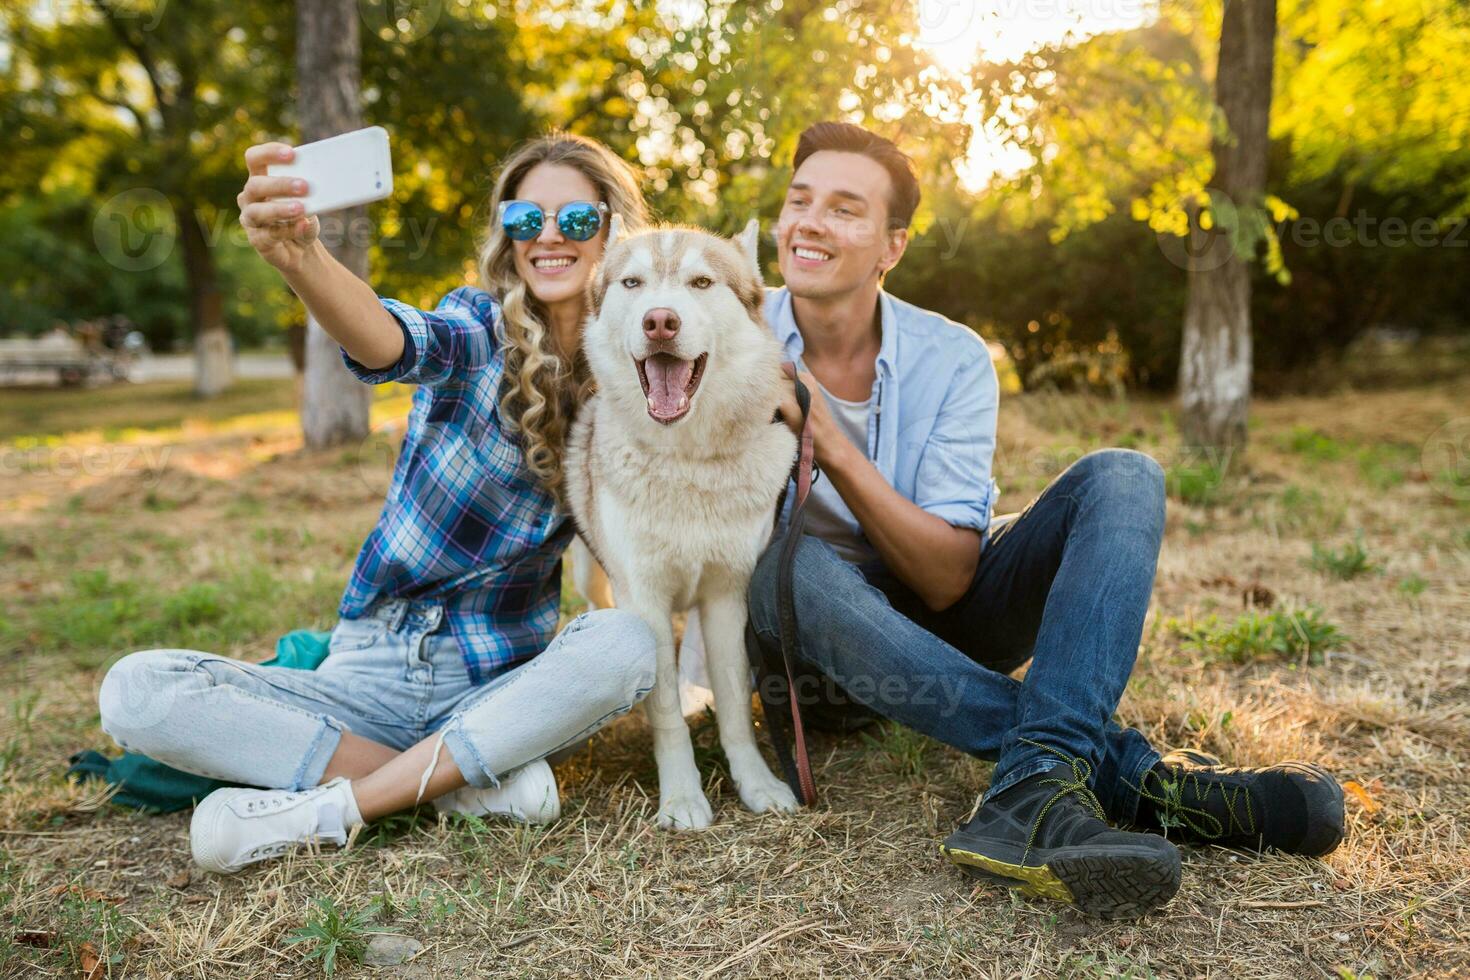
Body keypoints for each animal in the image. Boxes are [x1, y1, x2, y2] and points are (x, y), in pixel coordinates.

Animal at [564, 218, 799, 834]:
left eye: (701, 282)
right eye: (632, 283)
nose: (660, 321)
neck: (687, 462)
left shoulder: (727, 595)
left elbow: (737, 707)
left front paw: (757, 783)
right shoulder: (645, 599)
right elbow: (666, 714)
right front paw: (682, 799)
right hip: (592, 573)